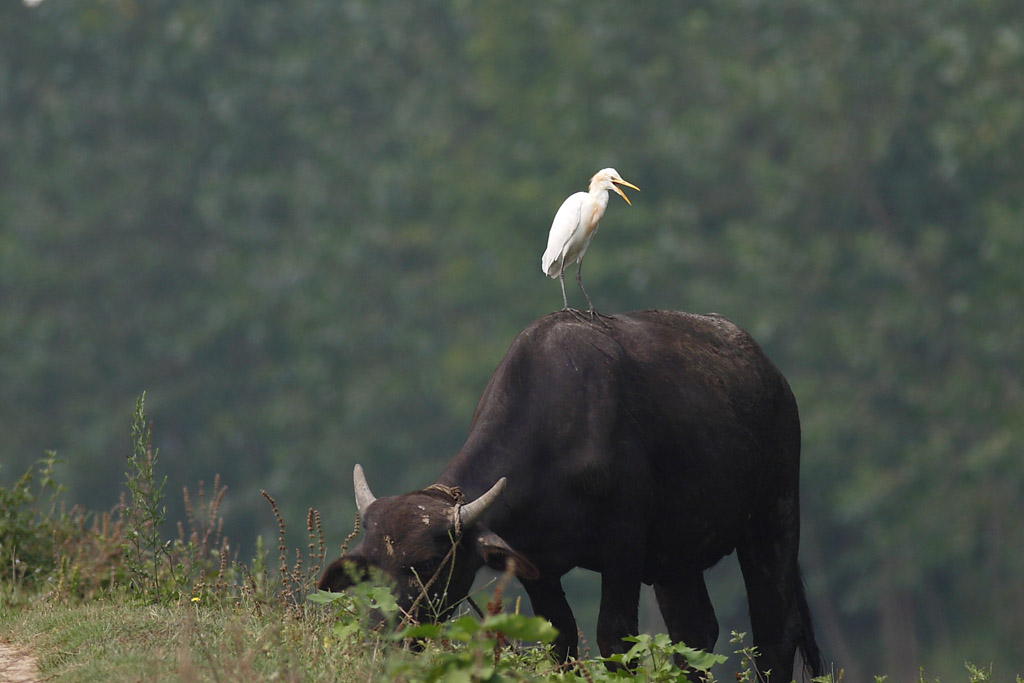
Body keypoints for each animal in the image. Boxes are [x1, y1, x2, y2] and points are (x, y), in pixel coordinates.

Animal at [319, 313, 823, 679]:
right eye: (368, 568)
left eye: (426, 565)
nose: (382, 633)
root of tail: (773, 378)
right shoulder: (538, 567)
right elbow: (560, 642)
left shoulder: (623, 547)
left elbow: (615, 640)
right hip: (676, 556)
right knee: (694, 632)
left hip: (776, 511)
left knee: (776, 631)